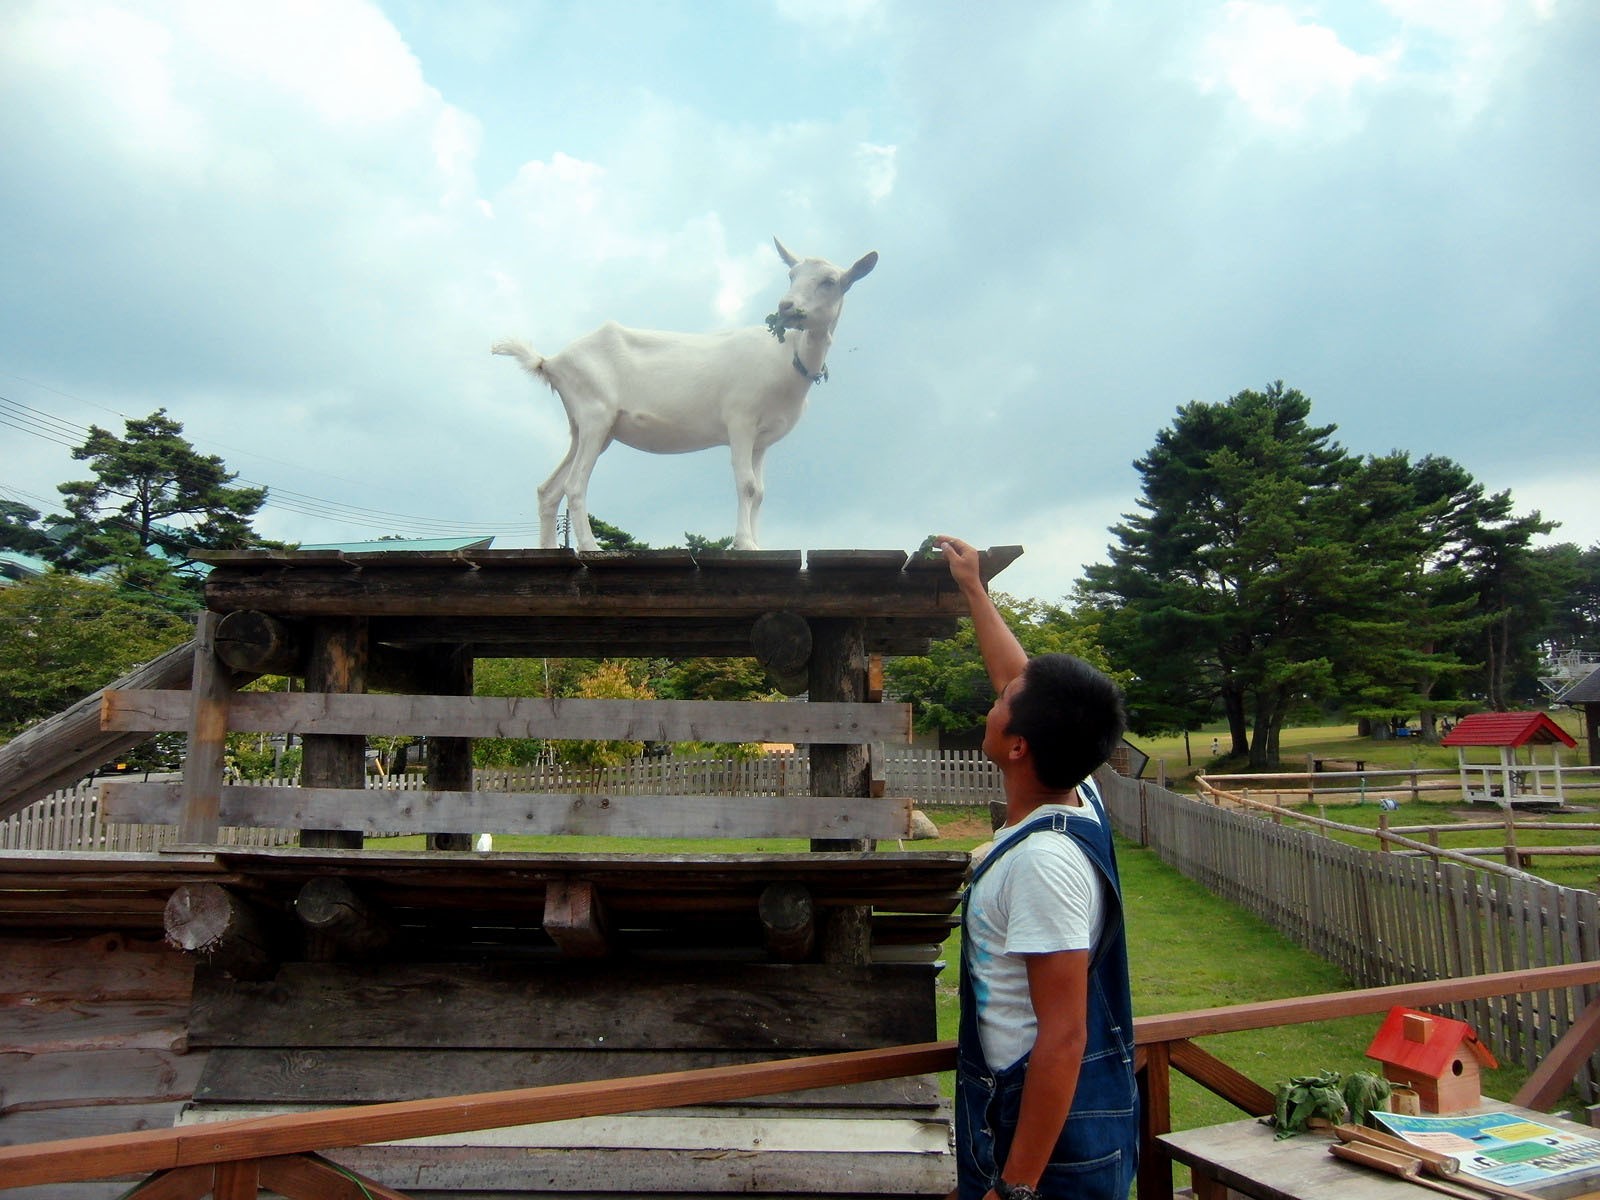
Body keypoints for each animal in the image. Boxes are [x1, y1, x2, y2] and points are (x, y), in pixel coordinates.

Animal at [489, 240, 876, 550]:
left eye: (829, 281)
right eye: (792, 275)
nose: (786, 307)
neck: (786, 357)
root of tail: (551, 361)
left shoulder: (763, 439)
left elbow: (762, 492)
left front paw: (757, 542)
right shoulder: (740, 420)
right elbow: (747, 484)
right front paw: (745, 544)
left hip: (587, 426)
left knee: (549, 489)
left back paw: (549, 550)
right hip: (595, 412)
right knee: (574, 484)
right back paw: (590, 546)